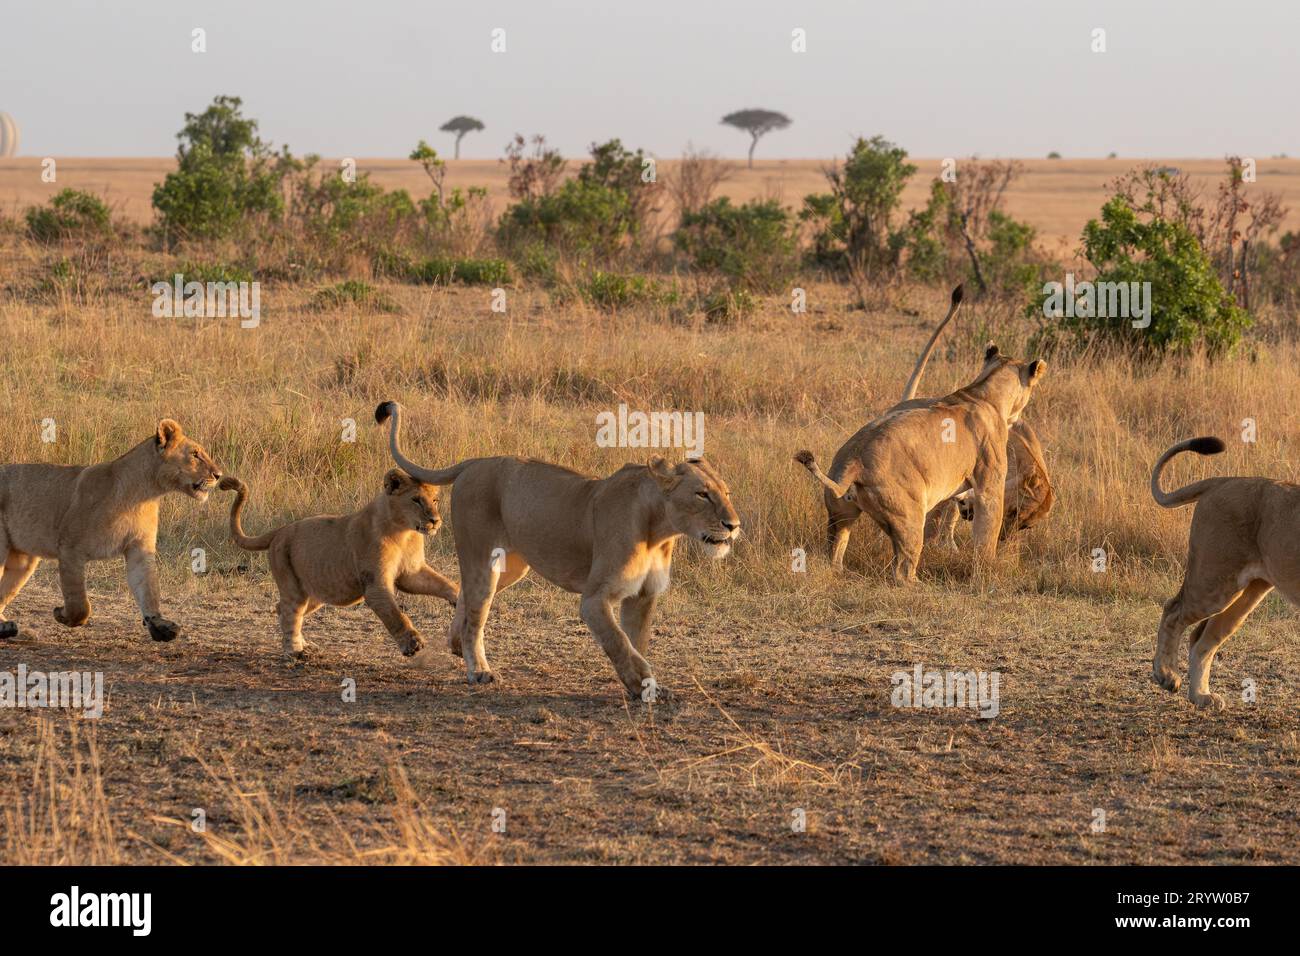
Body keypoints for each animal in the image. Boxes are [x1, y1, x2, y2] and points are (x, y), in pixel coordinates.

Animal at [0, 418, 220, 642]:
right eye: (195, 454)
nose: (219, 475)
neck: (143, 494)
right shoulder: (70, 549)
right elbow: (79, 604)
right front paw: (62, 614)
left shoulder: (140, 549)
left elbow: (148, 588)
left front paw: (158, 623)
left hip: (23, 561)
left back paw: (4, 627)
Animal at [222, 468, 462, 658]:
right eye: (416, 500)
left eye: (435, 500)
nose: (435, 521)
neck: (404, 531)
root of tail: (281, 530)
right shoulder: (375, 584)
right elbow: (395, 615)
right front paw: (412, 643)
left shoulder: (411, 572)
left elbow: (443, 583)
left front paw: (457, 598)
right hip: (293, 586)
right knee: (290, 612)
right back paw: (295, 651)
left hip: (317, 591)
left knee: (282, 608)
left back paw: (305, 645)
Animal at [377, 400, 743, 697]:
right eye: (702, 494)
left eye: (726, 492)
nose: (734, 525)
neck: (661, 532)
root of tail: (474, 462)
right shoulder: (595, 599)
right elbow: (620, 642)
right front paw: (641, 686)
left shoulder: (642, 595)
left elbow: (636, 643)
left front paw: (647, 686)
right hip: (483, 559)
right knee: (475, 614)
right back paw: (478, 670)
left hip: (511, 567)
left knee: (465, 596)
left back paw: (455, 644)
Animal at [790, 348, 1045, 580]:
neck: (982, 393)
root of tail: (853, 460)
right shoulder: (989, 485)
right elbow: (987, 532)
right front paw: (988, 568)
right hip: (909, 516)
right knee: (903, 570)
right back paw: (921, 585)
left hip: (839, 515)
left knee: (835, 551)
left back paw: (840, 572)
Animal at [1154, 439, 1294, 712]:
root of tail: (1223, 480)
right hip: (1214, 582)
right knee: (1173, 611)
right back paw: (1167, 676)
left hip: (1246, 593)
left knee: (1202, 641)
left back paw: (1200, 695)